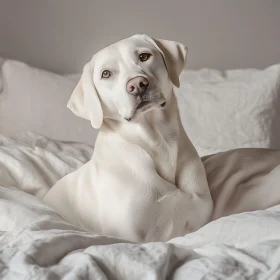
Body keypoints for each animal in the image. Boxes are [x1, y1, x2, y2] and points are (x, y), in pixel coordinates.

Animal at [43, 34, 280, 242]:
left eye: (144, 56)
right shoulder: (131, 237)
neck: (158, 142)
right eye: (106, 74)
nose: (137, 84)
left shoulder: (196, 218)